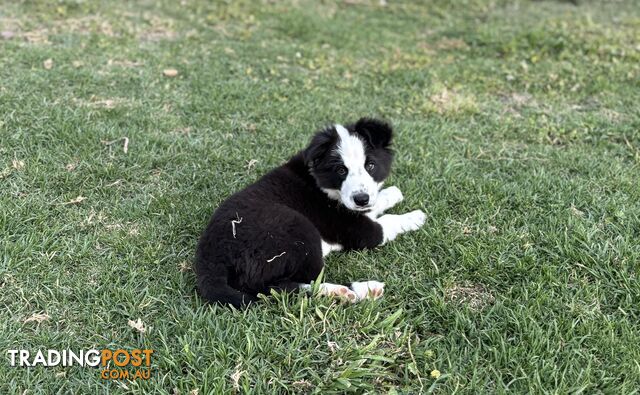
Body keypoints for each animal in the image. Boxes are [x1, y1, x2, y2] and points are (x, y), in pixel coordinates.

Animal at [195, 119, 424, 308]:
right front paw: (416, 217)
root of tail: (209, 258)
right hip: (299, 229)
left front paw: (392, 193)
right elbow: (388, 221)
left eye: (370, 166)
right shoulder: (358, 230)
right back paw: (356, 290)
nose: (361, 199)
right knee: (294, 286)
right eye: (341, 170)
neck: (321, 183)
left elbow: (377, 204)